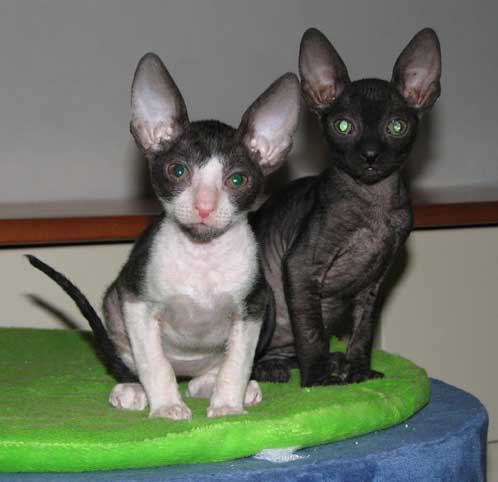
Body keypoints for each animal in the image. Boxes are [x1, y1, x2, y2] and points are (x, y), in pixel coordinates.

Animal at [28, 52, 300, 420]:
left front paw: (228, 407)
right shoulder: (136, 303)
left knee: (206, 376)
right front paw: (167, 407)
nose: (204, 206)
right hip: (114, 302)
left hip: (267, 303)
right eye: (178, 171)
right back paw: (134, 390)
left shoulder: (252, 307)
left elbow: (238, 364)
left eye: (237, 179)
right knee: (140, 363)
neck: (202, 254)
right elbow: (154, 364)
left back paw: (219, 386)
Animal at [251, 27, 441, 387]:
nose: (370, 155)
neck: (374, 205)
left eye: (397, 126)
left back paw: (324, 361)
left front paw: (359, 371)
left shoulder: (375, 281)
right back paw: (271, 369)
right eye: (343, 126)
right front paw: (318, 379)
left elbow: (364, 329)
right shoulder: (301, 266)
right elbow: (311, 332)